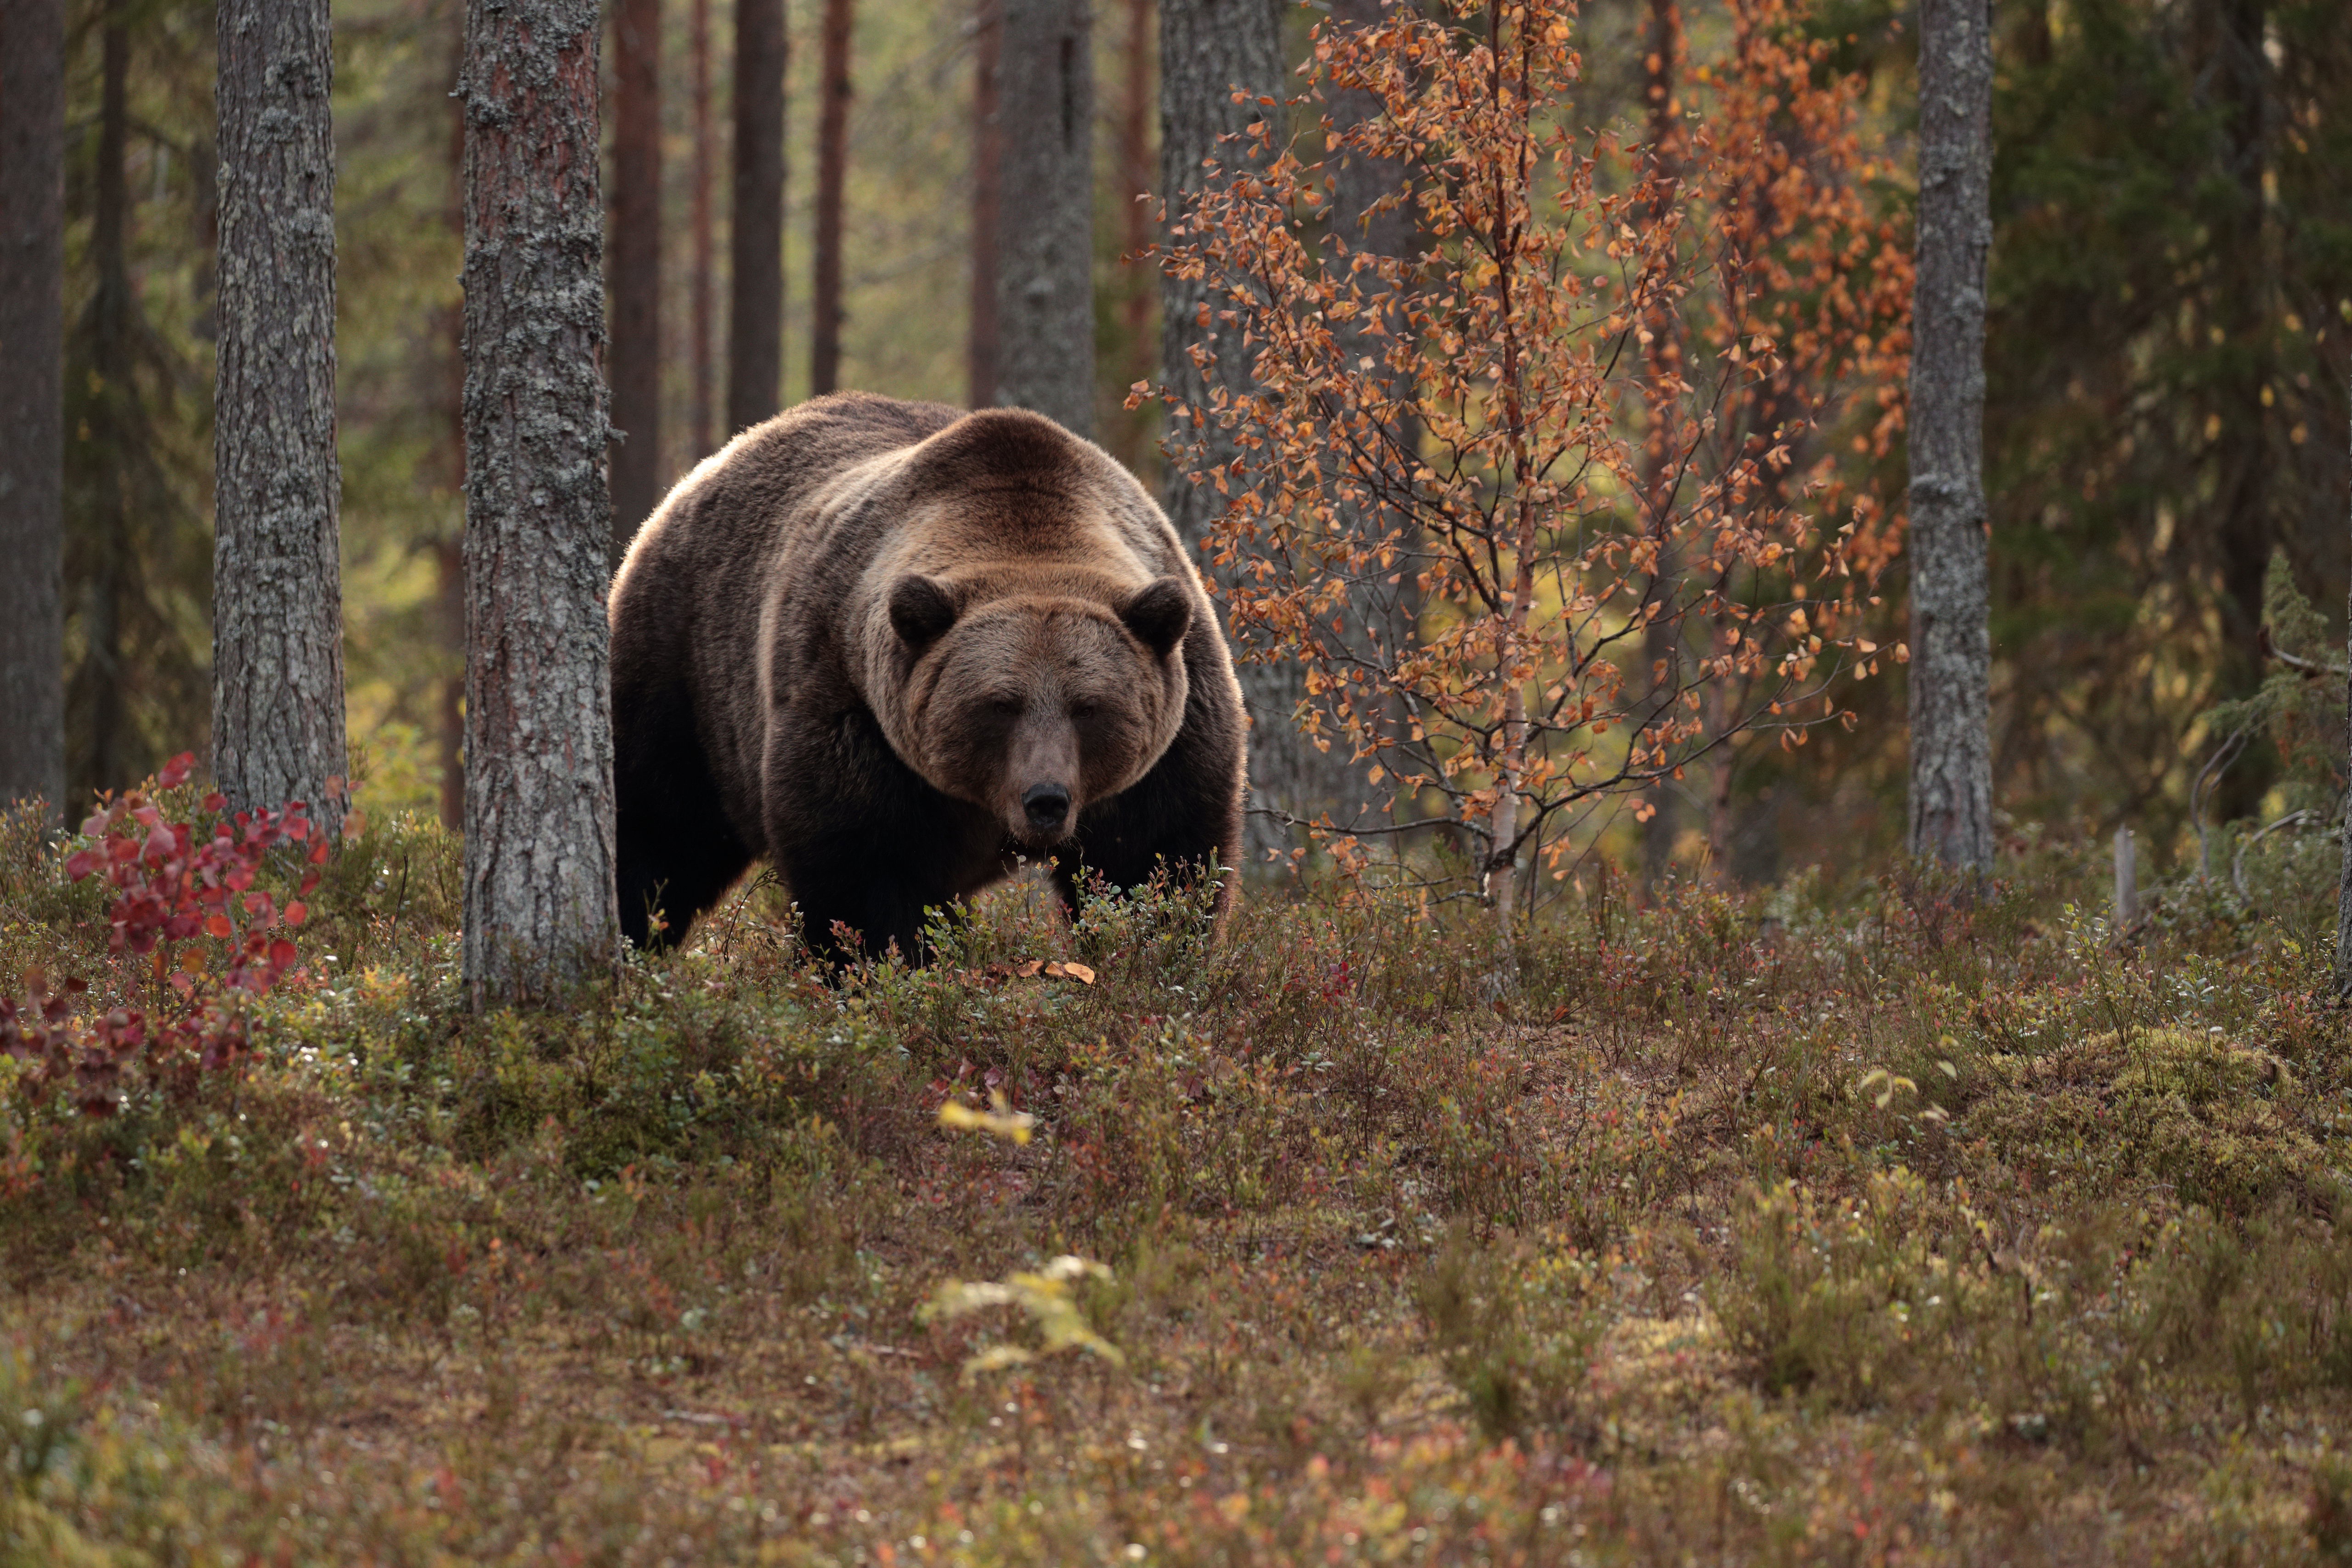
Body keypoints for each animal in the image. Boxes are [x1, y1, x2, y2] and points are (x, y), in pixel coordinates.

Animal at [607, 390, 1246, 963]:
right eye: (1000, 703)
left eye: (1089, 706)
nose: (1045, 799)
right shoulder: (852, 703)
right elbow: (866, 875)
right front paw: (883, 966)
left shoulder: (1174, 735)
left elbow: (1155, 864)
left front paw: (1151, 951)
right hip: (688, 669)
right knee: (656, 823)